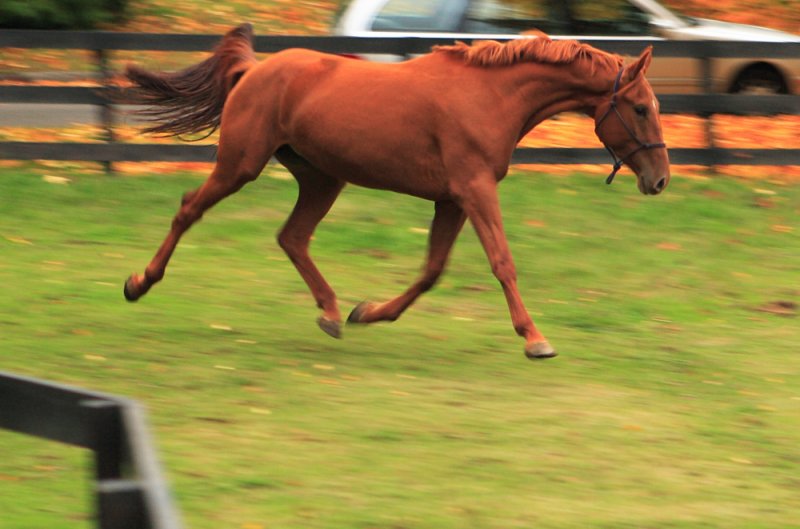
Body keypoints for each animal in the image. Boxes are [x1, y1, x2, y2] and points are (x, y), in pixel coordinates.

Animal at [120, 23, 668, 358]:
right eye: (641, 107)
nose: (659, 179)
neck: (492, 95)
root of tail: (255, 69)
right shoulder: (475, 191)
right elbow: (502, 262)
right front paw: (535, 339)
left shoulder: (452, 200)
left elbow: (431, 270)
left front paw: (368, 312)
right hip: (241, 165)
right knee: (189, 210)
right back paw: (139, 283)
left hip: (322, 178)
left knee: (292, 237)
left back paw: (332, 312)